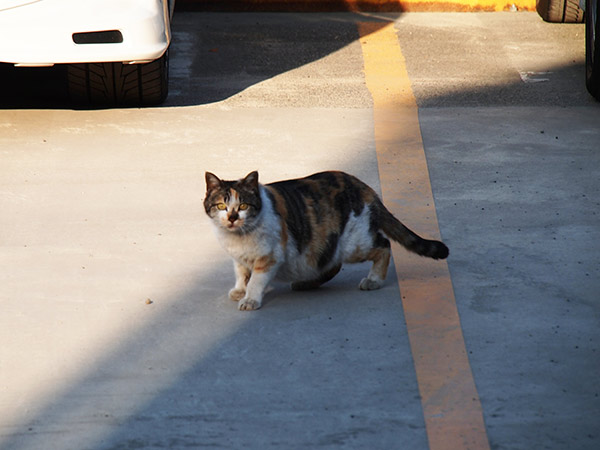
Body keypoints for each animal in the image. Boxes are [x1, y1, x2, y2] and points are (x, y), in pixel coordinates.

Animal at [204, 171, 448, 312]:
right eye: (221, 206)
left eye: (243, 205)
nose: (232, 217)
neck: (238, 237)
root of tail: (364, 187)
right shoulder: (239, 258)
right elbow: (241, 273)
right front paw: (239, 290)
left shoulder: (269, 257)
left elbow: (255, 280)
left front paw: (250, 299)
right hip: (322, 247)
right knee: (332, 265)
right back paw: (305, 283)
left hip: (353, 243)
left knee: (383, 246)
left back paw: (374, 280)